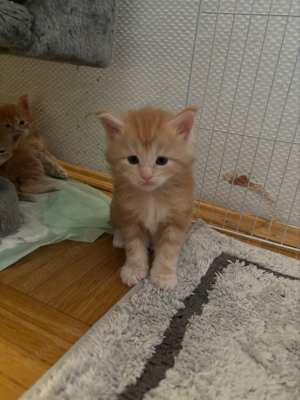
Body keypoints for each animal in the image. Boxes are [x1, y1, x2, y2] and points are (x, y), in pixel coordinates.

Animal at [95, 104, 197, 290]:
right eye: (133, 159)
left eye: (162, 160)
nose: (146, 176)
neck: (152, 196)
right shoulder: (129, 215)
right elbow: (134, 246)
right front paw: (133, 270)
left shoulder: (178, 218)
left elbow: (169, 250)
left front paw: (164, 275)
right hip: (115, 205)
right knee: (115, 222)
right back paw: (119, 238)